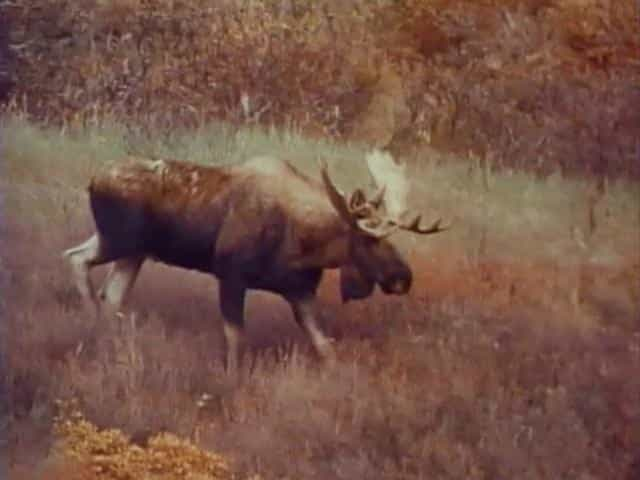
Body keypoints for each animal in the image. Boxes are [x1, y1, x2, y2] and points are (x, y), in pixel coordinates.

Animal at [62, 150, 448, 372]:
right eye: (369, 238)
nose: (404, 276)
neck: (306, 244)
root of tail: (92, 179)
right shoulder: (231, 275)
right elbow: (236, 341)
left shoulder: (299, 292)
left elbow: (325, 348)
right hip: (118, 240)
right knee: (76, 260)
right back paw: (89, 323)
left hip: (133, 252)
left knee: (110, 293)